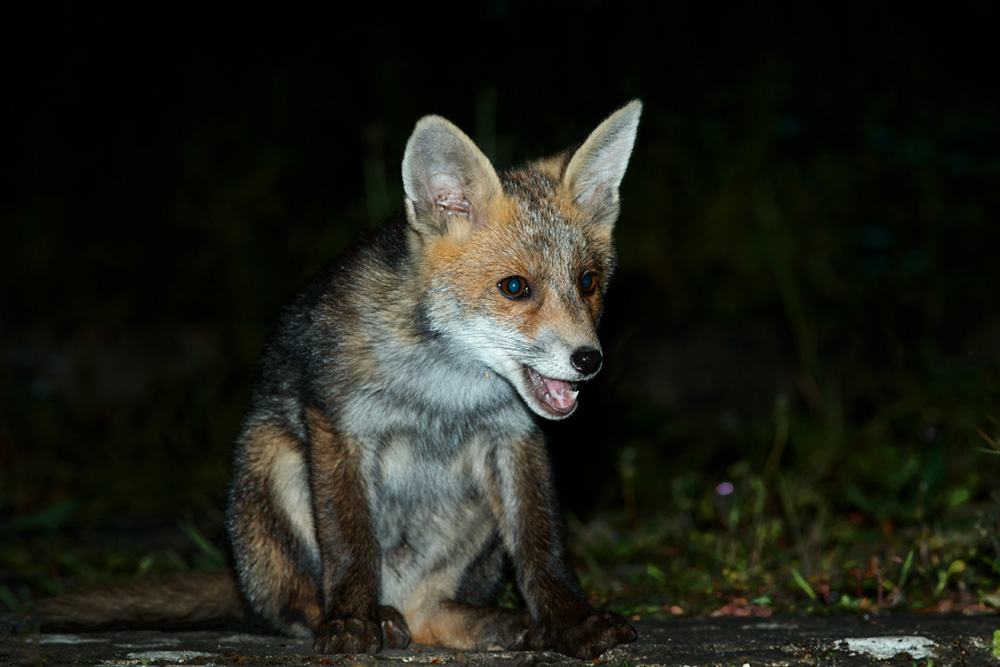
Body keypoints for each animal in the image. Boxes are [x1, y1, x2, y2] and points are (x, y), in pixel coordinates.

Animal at [24, 100, 642, 659]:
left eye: (588, 282)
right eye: (515, 288)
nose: (589, 360)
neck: (445, 389)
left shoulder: (515, 439)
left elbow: (543, 550)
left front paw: (570, 622)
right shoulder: (340, 425)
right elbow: (350, 546)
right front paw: (350, 623)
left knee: (431, 616)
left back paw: (495, 624)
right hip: (272, 464)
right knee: (297, 606)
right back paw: (367, 618)